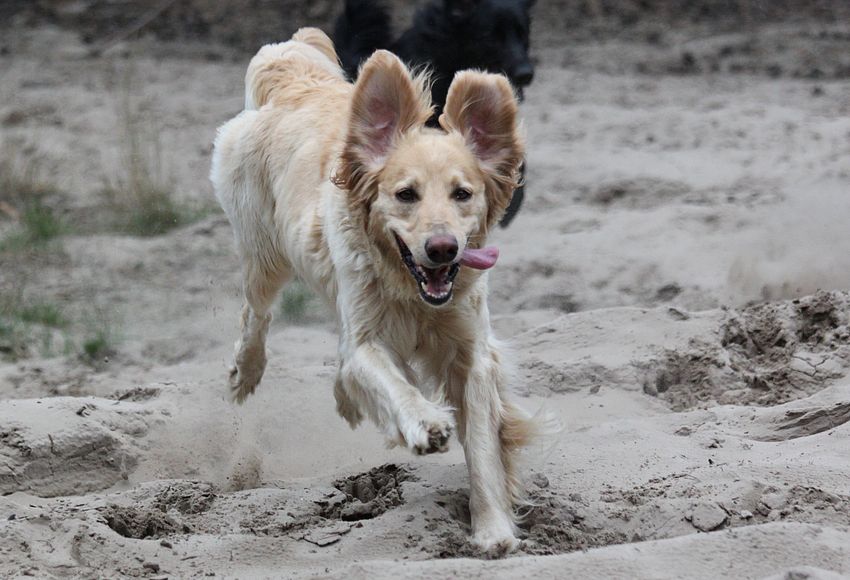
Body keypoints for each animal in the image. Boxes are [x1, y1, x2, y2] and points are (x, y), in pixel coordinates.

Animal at [210, 28, 536, 553]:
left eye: (462, 194)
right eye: (406, 194)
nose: (442, 248)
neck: (411, 290)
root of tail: (288, 61)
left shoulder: (471, 351)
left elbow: (484, 443)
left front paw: (493, 528)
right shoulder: (365, 336)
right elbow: (386, 379)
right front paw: (426, 423)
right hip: (264, 250)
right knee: (256, 312)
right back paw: (246, 371)